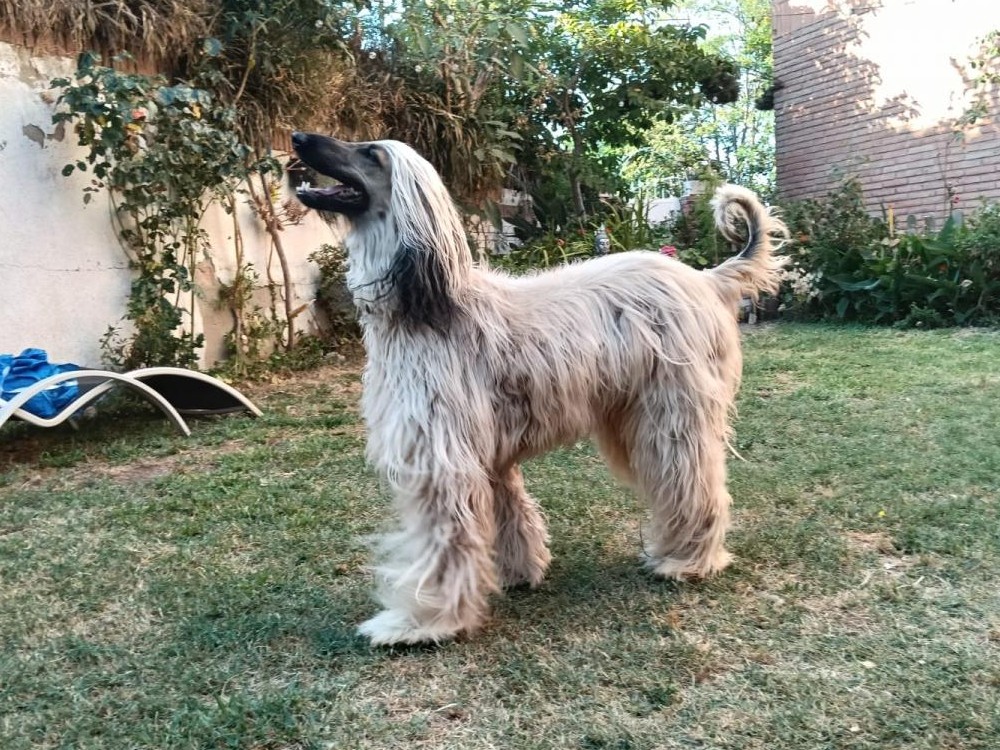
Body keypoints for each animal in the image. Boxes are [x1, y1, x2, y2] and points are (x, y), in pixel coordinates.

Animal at [291, 131, 788, 645]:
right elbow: (508, 511)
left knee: (693, 482)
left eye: (371, 153)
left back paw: (689, 560)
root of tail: (704, 277)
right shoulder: (487, 453)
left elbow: (443, 543)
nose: (298, 138)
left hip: (671, 413)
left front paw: (422, 621)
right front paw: (519, 571)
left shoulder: (441, 454)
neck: (427, 305)